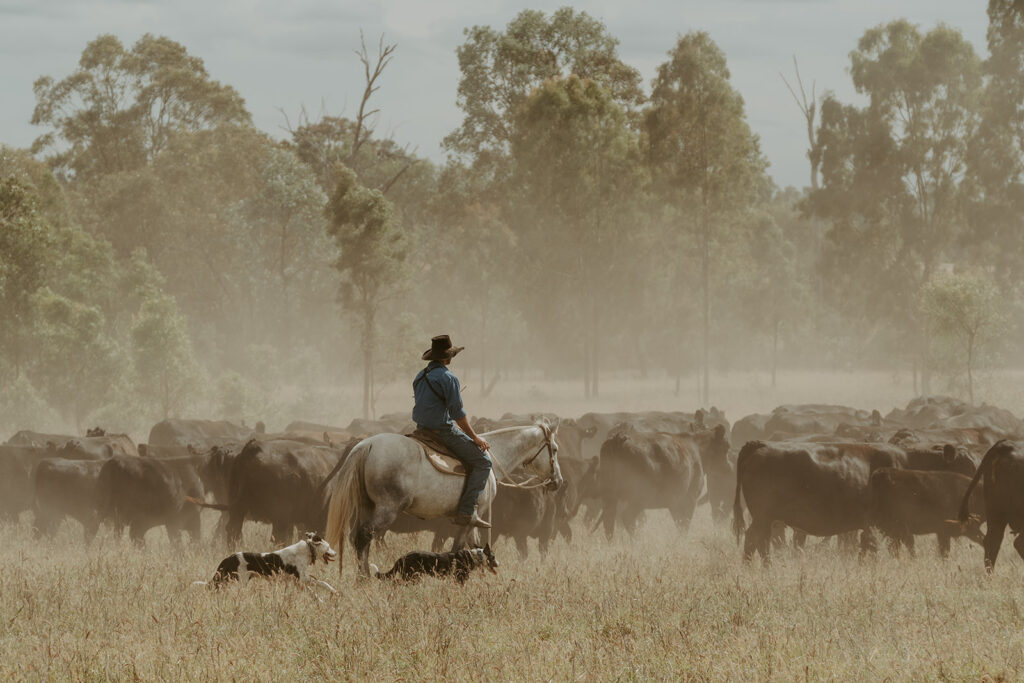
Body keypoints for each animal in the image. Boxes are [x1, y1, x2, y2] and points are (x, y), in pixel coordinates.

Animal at [325, 421, 562, 577]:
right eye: (555, 449)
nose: (558, 481)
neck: (492, 461)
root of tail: (367, 445)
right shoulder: (471, 516)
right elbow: (459, 546)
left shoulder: (472, 519)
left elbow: (475, 545)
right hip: (387, 508)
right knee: (365, 535)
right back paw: (364, 578)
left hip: (367, 505)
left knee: (359, 538)